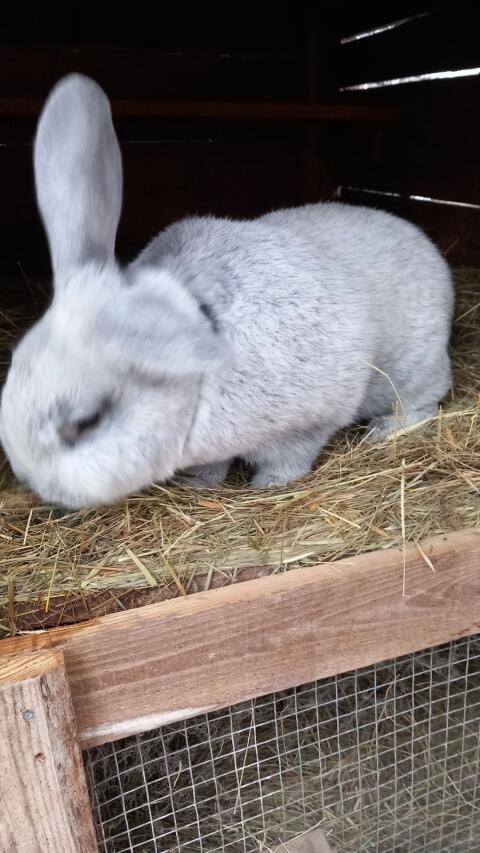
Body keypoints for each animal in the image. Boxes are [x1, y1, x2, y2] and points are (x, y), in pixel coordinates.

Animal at [0, 74, 453, 509]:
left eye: (86, 423)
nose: (38, 485)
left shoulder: (305, 425)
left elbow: (289, 460)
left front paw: (268, 486)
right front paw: (200, 483)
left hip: (411, 370)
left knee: (423, 401)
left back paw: (382, 430)